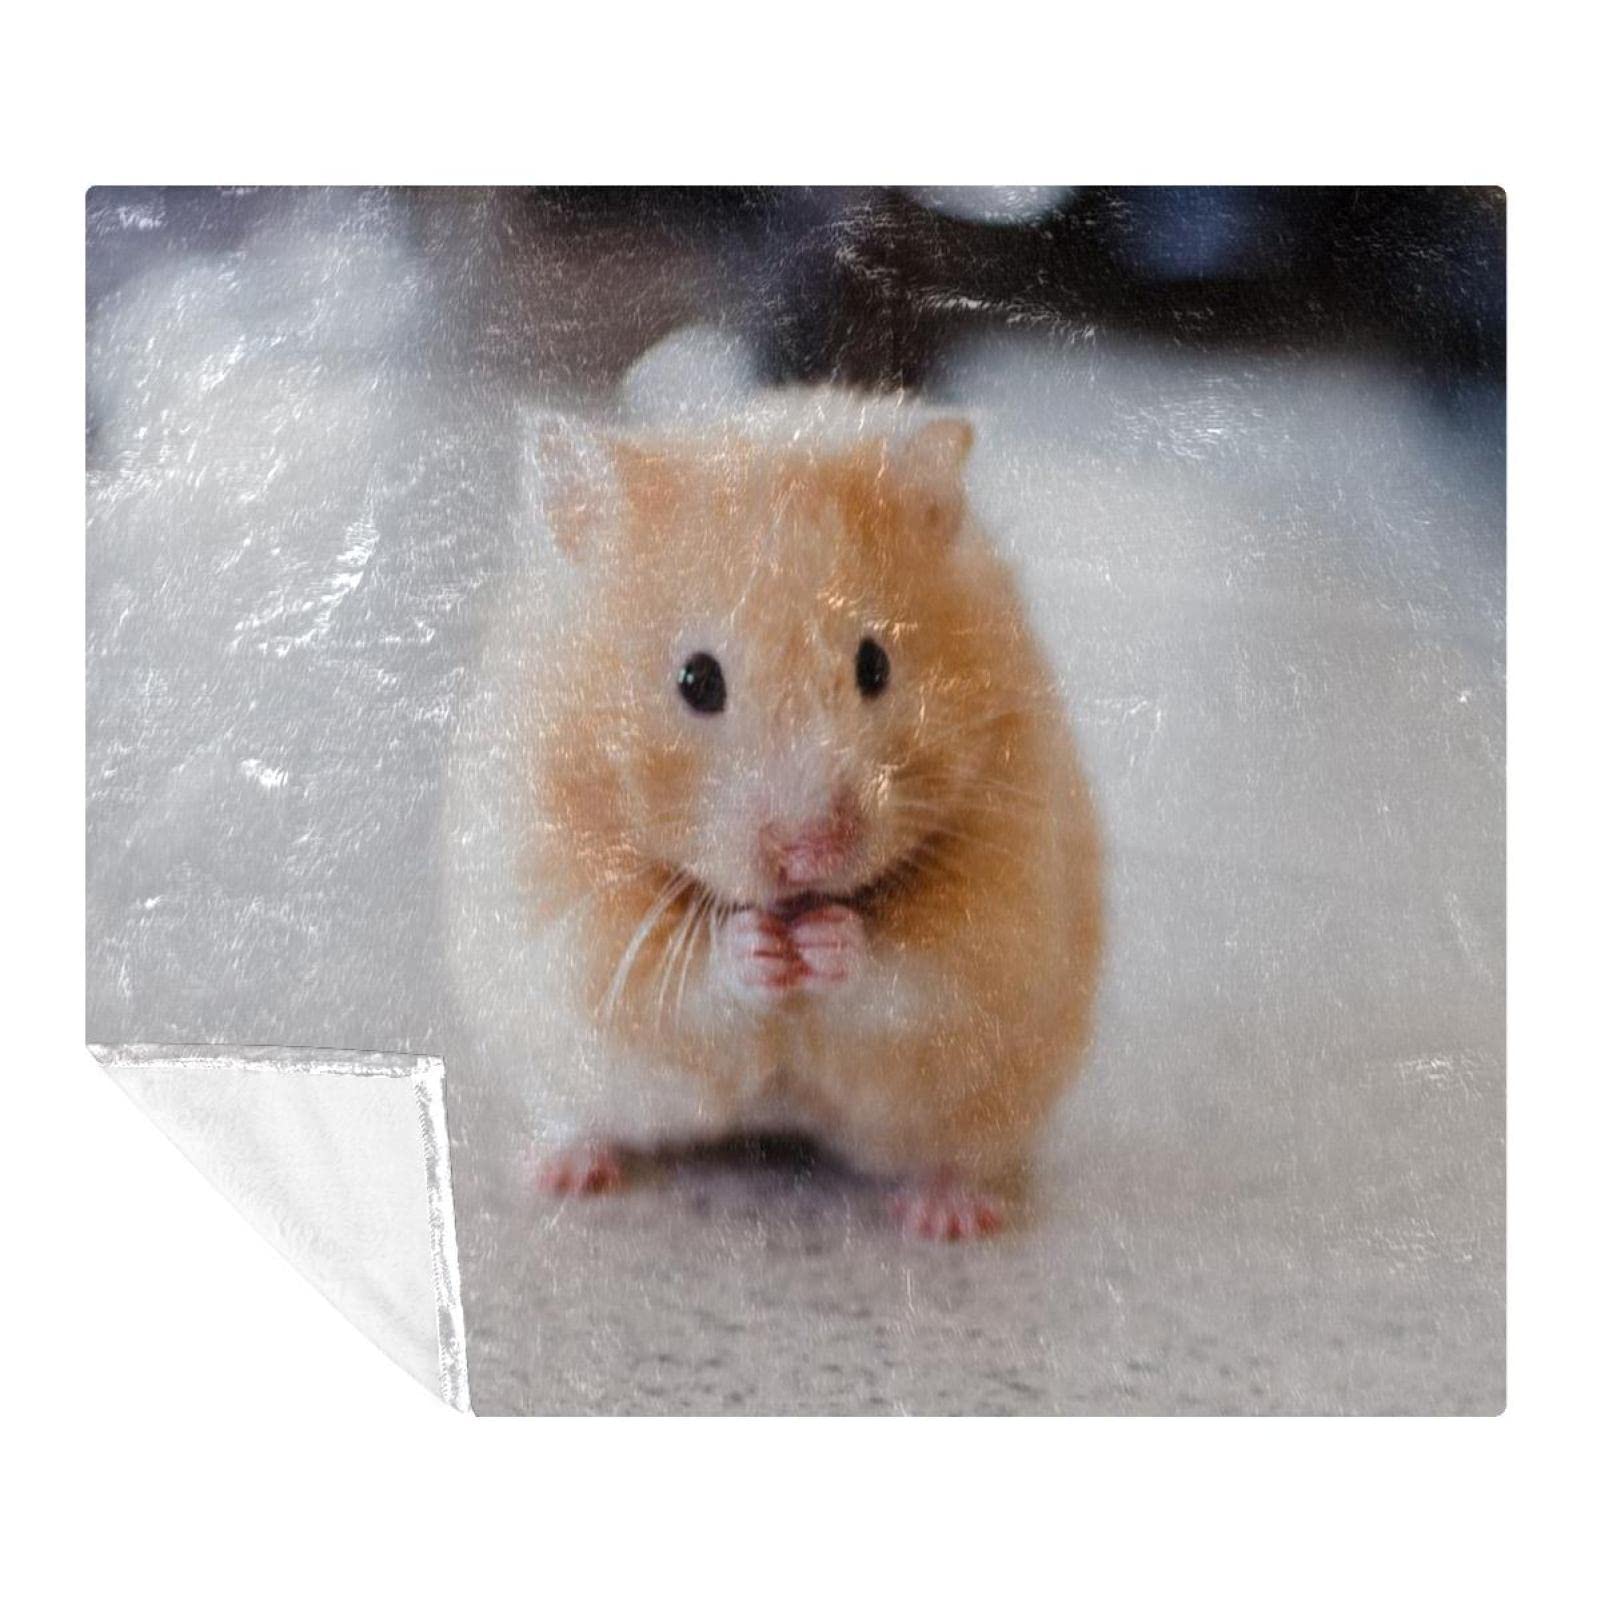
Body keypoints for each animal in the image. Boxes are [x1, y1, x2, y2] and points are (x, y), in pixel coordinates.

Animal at [446, 391, 1101, 1240]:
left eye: (874, 664)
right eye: (696, 680)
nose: (810, 851)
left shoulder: (1000, 901)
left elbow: (912, 970)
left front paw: (825, 942)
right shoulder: (564, 905)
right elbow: (670, 977)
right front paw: (757, 948)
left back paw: (945, 1216)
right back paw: (562, 1171)